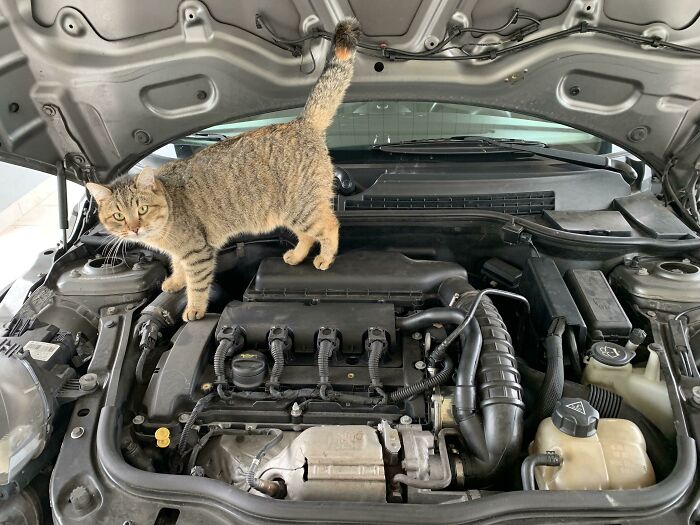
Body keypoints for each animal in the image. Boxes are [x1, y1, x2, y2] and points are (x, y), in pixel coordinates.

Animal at [86, 19, 360, 320]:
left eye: (142, 210)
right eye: (118, 216)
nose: (134, 229)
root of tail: (301, 122)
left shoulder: (197, 251)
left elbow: (196, 284)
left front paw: (194, 309)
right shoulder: (181, 252)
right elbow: (177, 266)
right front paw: (174, 280)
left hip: (301, 209)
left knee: (330, 225)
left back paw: (325, 257)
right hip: (290, 212)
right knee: (308, 235)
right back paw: (297, 255)